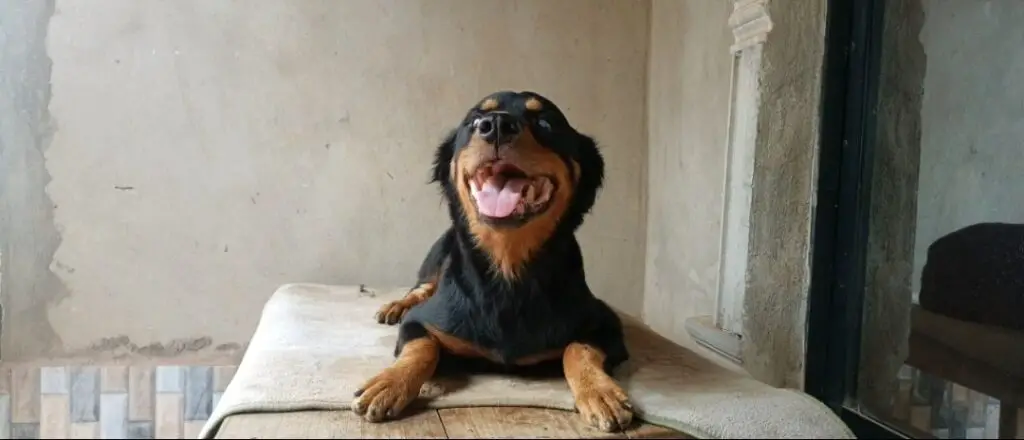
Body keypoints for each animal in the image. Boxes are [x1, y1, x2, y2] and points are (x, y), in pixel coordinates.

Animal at [352, 91, 630, 431]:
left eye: (545, 123)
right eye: (474, 120)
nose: (495, 125)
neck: (506, 271)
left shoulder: (607, 323)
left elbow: (578, 347)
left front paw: (599, 391)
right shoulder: (420, 322)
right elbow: (422, 347)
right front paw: (389, 382)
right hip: (438, 253)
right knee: (421, 287)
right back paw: (395, 305)